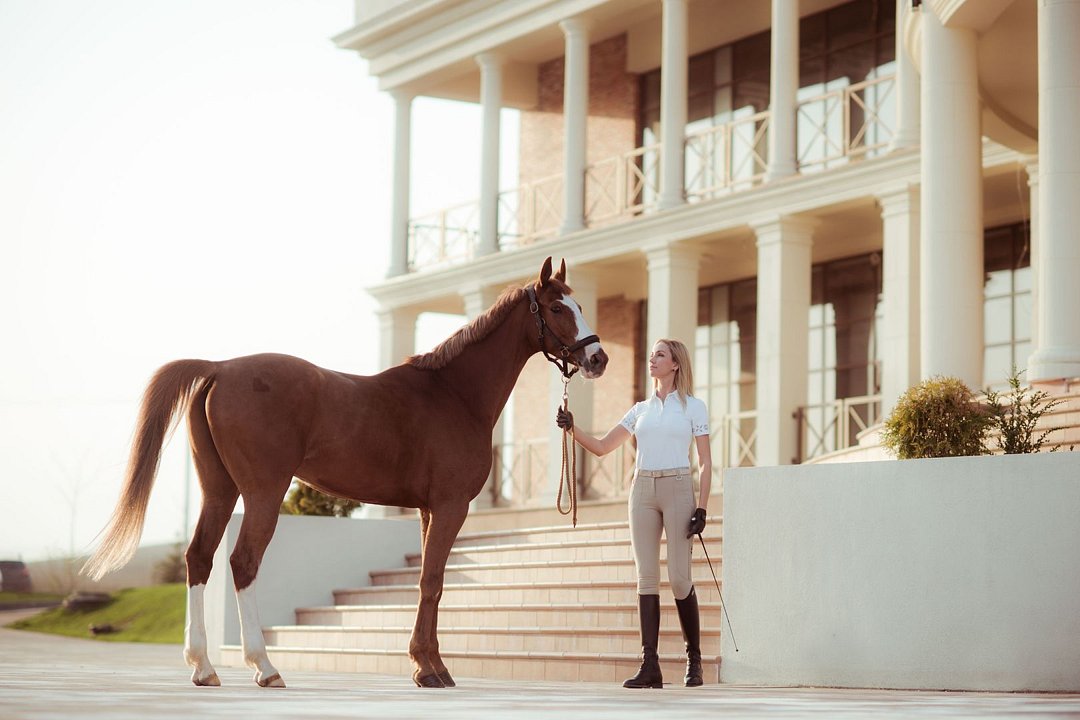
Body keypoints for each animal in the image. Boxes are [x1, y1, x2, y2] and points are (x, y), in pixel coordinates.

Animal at [84, 260, 609, 690]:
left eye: (581, 304)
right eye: (557, 308)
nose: (597, 358)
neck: (453, 394)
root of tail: (221, 368)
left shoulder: (427, 511)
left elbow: (430, 582)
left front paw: (429, 665)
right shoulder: (450, 507)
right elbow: (432, 581)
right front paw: (430, 670)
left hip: (219, 491)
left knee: (200, 558)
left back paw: (203, 667)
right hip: (262, 493)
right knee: (243, 562)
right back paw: (265, 667)